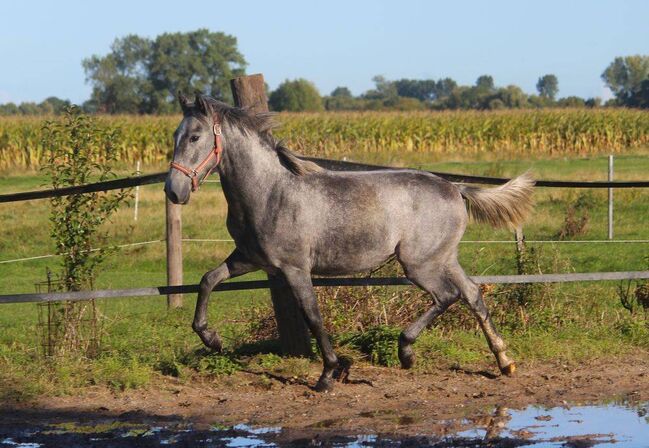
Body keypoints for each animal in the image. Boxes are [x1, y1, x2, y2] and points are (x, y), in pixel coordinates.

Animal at [165, 94, 536, 392]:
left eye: (195, 136)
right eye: (174, 135)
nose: (173, 191)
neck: (269, 193)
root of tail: (456, 189)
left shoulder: (294, 268)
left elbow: (313, 317)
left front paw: (330, 373)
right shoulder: (250, 258)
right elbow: (208, 280)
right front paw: (212, 339)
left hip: (419, 264)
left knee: (448, 295)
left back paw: (406, 352)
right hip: (443, 258)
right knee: (472, 293)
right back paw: (504, 361)